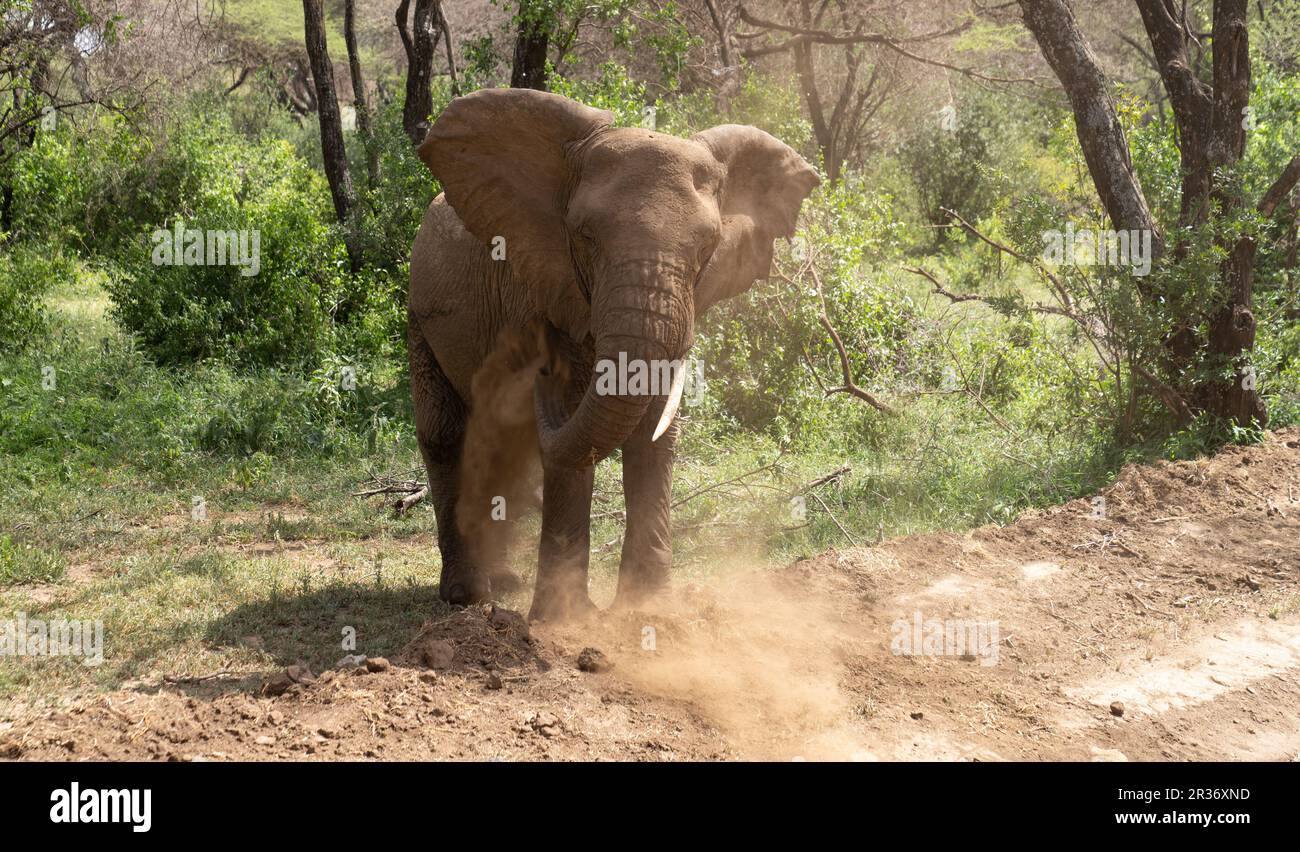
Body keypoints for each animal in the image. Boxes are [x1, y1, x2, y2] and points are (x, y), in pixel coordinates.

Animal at [405, 86, 816, 619]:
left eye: (707, 247)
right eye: (585, 236)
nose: (539, 371)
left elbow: (655, 431)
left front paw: (647, 610)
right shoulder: (543, 284)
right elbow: (570, 431)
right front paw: (564, 620)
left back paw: (506, 583)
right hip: (419, 317)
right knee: (446, 434)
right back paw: (468, 595)